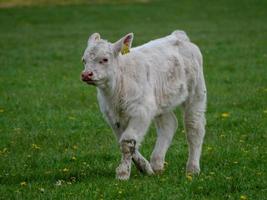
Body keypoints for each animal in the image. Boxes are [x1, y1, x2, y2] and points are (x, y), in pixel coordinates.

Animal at [81, 30, 207, 180]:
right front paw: (145, 168)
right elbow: (127, 142)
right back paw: (157, 164)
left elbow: (127, 142)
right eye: (84, 60)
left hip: (197, 92)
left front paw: (123, 173)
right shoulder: (112, 117)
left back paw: (192, 169)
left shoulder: (141, 112)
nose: (86, 74)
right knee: (169, 125)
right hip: (161, 102)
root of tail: (178, 35)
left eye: (105, 59)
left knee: (194, 128)